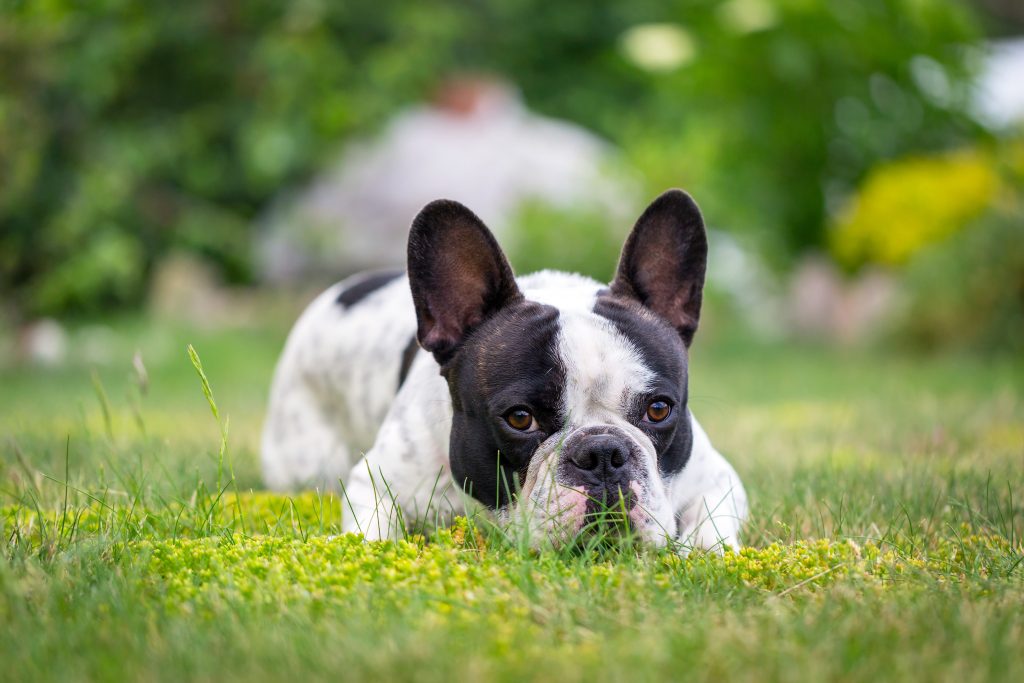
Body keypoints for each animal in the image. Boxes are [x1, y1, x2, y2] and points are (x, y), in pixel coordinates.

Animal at [260, 189, 749, 552]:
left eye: (659, 410)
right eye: (519, 418)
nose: (603, 453)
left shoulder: (719, 477)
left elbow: (712, 526)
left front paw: (700, 549)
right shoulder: (375, 480)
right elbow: (372, 533)